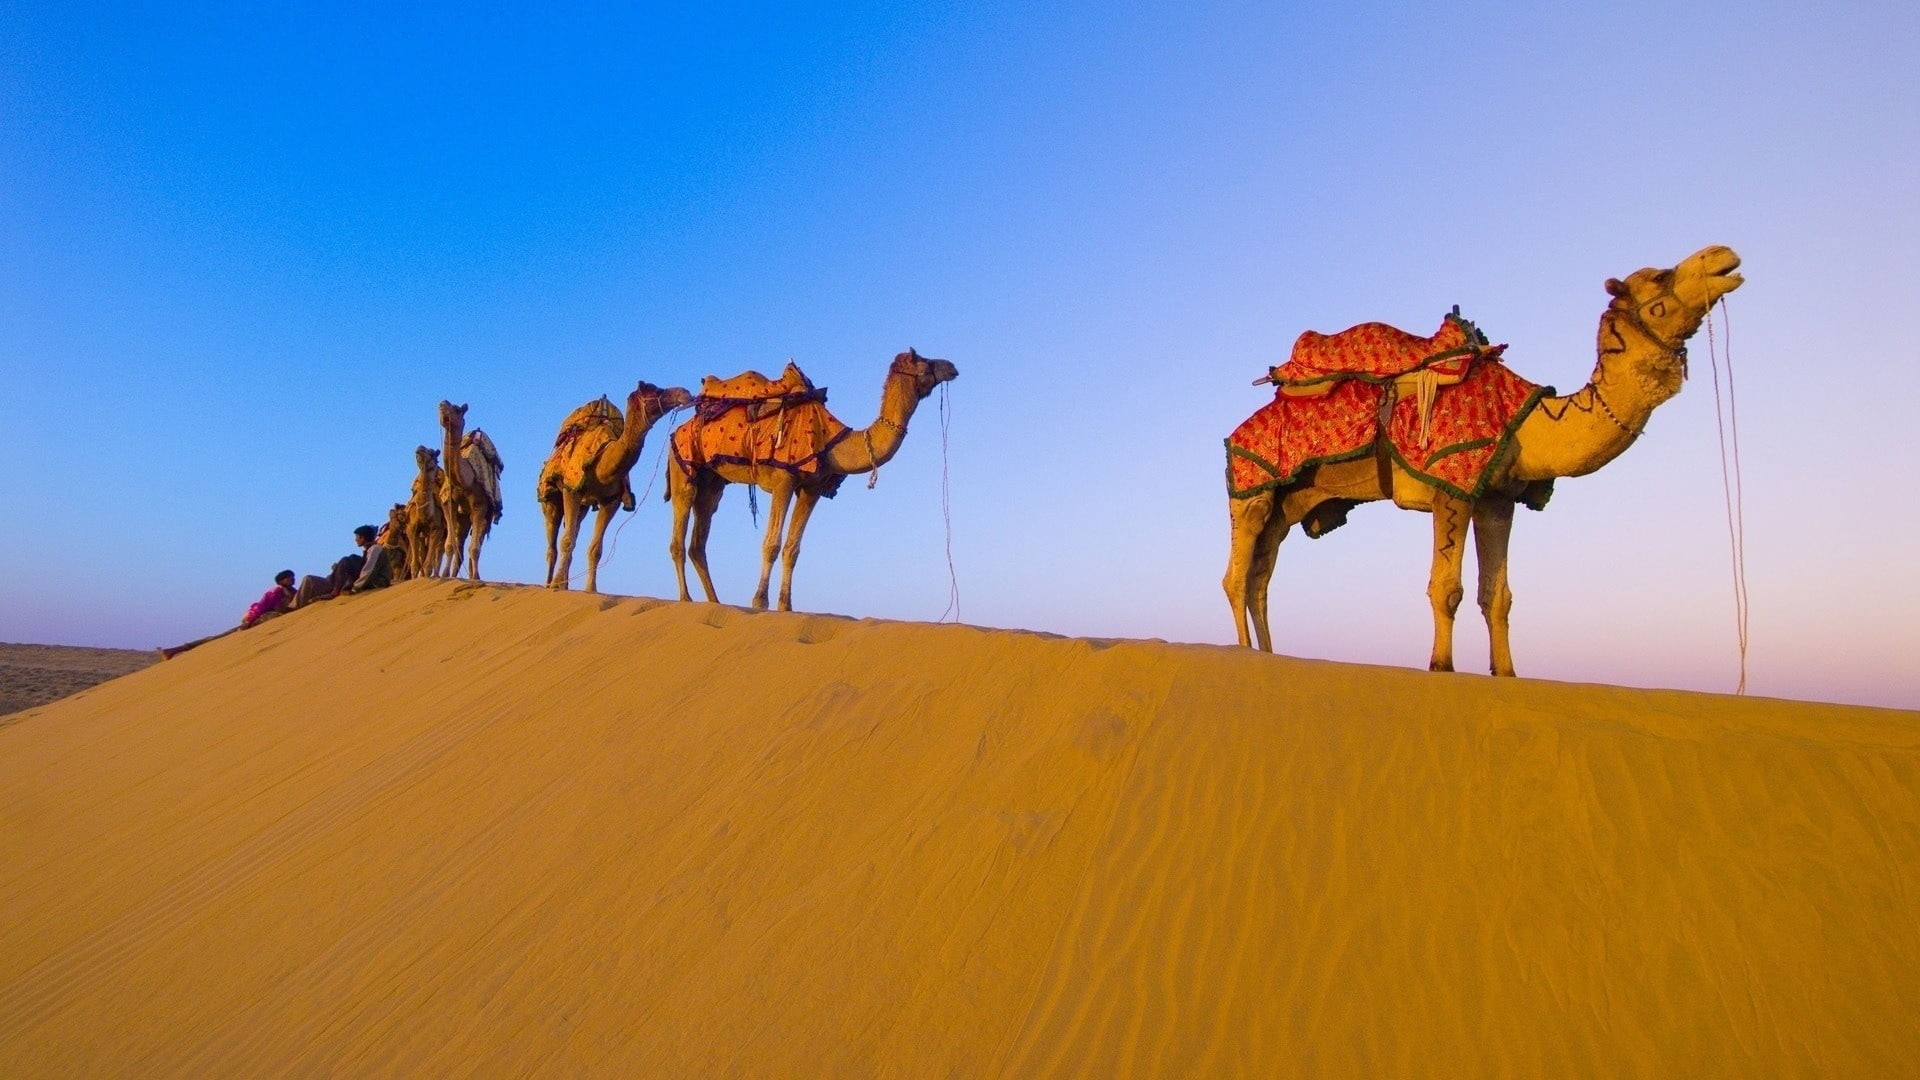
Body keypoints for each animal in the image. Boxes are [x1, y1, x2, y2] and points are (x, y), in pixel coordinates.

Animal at [405, 446, 448, 577]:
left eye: (432, 453)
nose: (420, 448)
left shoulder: (437, 529)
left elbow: (429, 563)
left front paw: (429, 575)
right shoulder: (411, 528)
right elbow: (415, 565)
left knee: (439, 551)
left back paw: (437, 575)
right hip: (423, 535)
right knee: (424, 552)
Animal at [437, 401, 505, 581]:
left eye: (457, 409)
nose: (442, 405)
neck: (464, 480)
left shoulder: (480, 505)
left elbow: (474, 548)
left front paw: (475, 577)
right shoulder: (448, 503)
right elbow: (450, 544)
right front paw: (445, 575)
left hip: (486, 516)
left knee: (476, 543)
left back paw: (474, 575)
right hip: (463, 518)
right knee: (459, 544)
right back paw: (454, 575)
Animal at [538, 381, 694, 593]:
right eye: (655, 389)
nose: (684, 393)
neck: (601, 463)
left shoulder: (611, 501)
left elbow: (595, 549)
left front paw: (591, 589)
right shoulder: (571, 490)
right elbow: (567, 542)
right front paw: (556, 585)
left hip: (583, 506)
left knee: (573, 532)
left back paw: (566, 584)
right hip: (550, 498)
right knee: (553, 545)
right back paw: (549, 584)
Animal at [669, 349, 959, 611]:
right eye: (923, 360)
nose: (952, 366)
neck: (833, 441)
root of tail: (680, 427)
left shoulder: (812, 488)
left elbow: (792, 549)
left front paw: (786, 606)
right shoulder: (783, 481)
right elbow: (772, 544)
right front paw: (760, 602)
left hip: (712, 483)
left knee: (699, 540)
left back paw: (714, 602)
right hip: (683, 467)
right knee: (679, 537)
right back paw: (685, 599)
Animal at [1223, 245, 1744, 675]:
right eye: (1660, 276)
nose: (1725, 256)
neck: (1530, 422)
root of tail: (1237, 430)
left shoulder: (1497, 498)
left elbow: (1498, 597)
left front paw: (1506, 672)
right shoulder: (1450, 486)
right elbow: (1446, 588)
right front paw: (1442, 666)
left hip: (1292, 501)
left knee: (1261, 577)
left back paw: (1268, 653)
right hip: (1252, 488)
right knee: (1237, 576)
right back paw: (1245, 652)